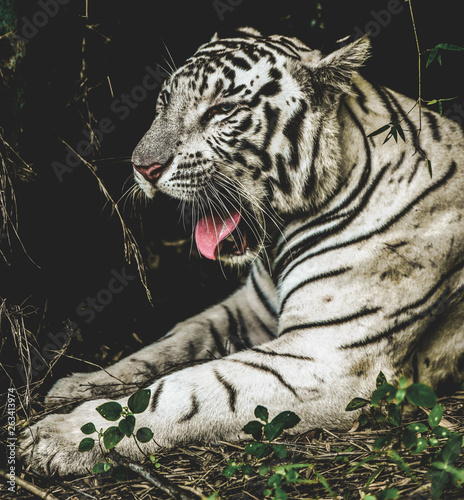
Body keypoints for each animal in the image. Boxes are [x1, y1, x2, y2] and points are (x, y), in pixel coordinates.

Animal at [20, 29, 462, 474]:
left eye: (222, 110)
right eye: (163, 103)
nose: (143, 167)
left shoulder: (326, 356)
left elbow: (186, 389)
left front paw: (63, 436)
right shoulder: (248, 310)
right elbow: (167, 344)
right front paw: (77, 384)